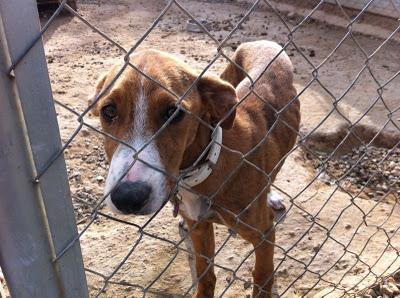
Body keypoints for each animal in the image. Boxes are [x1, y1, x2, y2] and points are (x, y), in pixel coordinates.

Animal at [91, 40, 300, 298]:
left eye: (173, 112)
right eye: (108, 110)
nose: (128, 197)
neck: (204, 170)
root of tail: (263, 42)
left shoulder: (264, 234)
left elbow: (262, 276)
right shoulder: (200, 229)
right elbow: (205, 275)